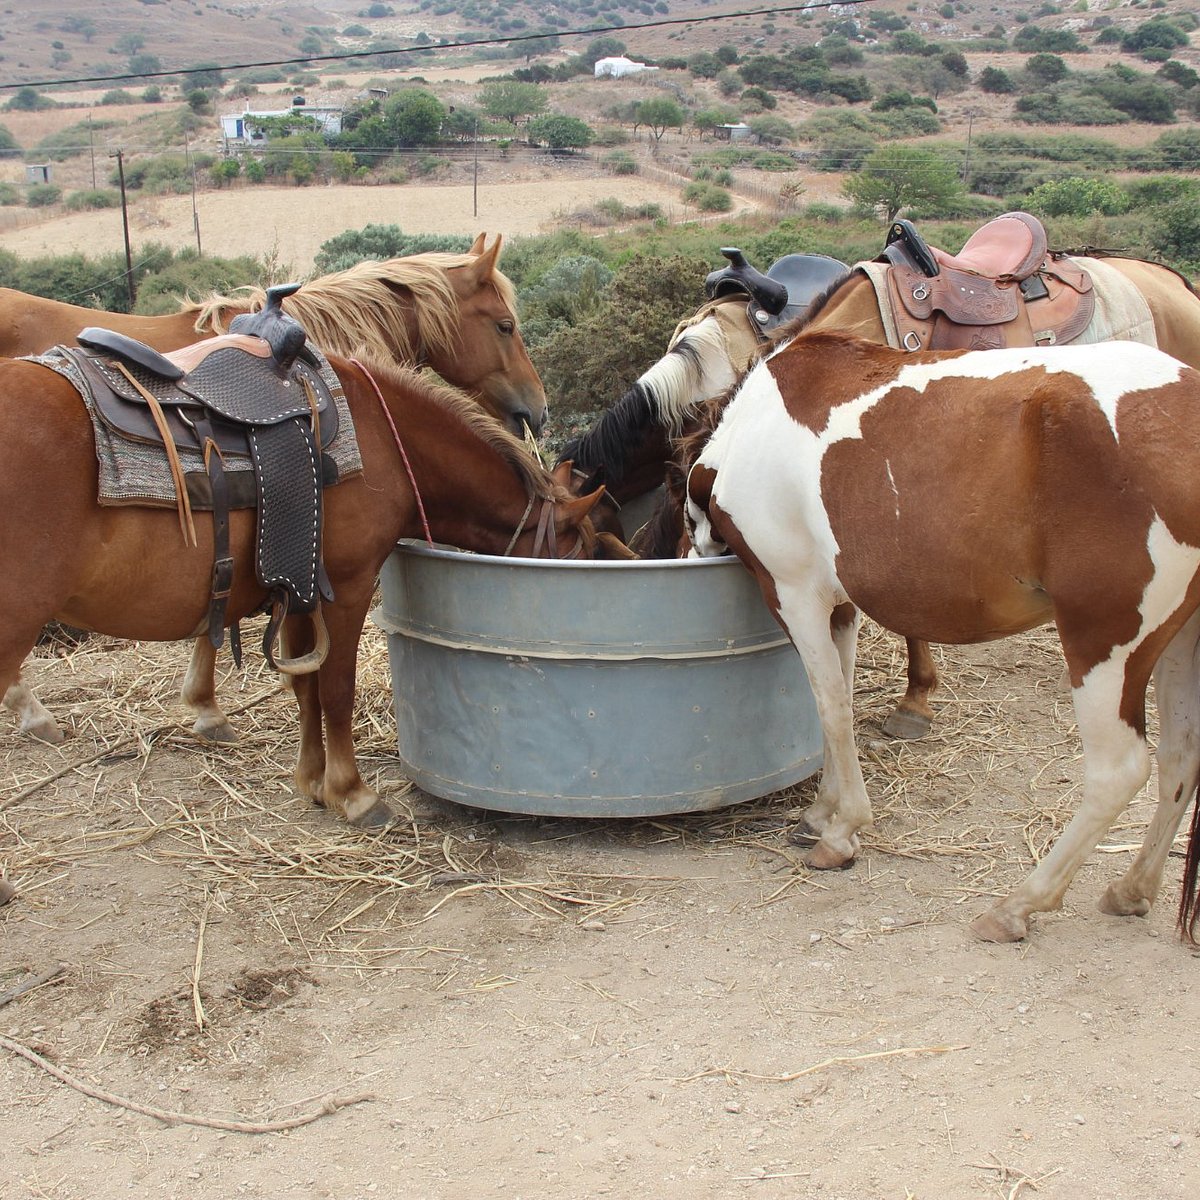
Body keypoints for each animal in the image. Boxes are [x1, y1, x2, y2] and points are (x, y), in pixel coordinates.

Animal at [0, 348, 619, 830]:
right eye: (577, 558)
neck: (383, 437)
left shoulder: (297, 593)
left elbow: (305, 690)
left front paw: (314, 781)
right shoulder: (345, 588)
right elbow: (336, 690)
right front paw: (353, 792)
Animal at [681, 331, 1200, 945]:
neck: (751, 432)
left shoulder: (796, 595)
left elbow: (831, 709)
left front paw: (841, 833)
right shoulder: (840, 607)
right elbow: (839, 703)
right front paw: (822, 813)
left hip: (1105, 645)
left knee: (1118, 772)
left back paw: (1016, 906)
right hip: (1179, 642)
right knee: (1180, 757)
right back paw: (1132, 889)